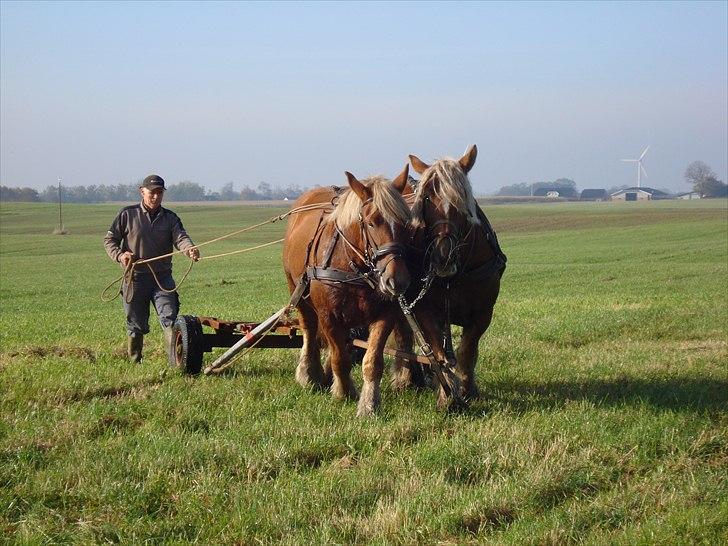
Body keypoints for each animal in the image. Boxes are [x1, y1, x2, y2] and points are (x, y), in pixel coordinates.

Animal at [282, 168, 412, 414]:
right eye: (371, 223)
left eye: (405, 223)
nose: (397, 280)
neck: (353, 267)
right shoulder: (329, 317)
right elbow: (339, 358)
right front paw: (344, 392)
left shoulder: (385, 315)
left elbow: (372, 361)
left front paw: (369, 403)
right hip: (298, 292)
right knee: (309, 330)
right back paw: (309, 372)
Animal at [392, 144, 506, 400]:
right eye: (426, 198)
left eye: (462, 199)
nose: (442, 256)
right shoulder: (426, 309)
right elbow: (437, 351)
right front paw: (446, 391)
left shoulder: (483, 313)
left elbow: (467, 350)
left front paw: (466, 387)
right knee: (403, 335)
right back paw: (406, 378)